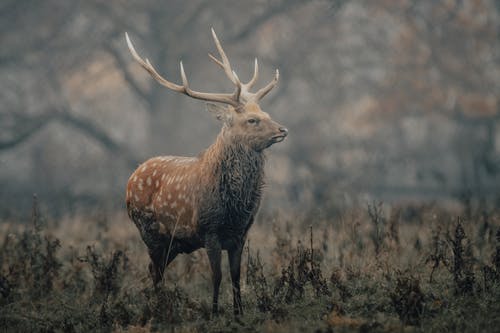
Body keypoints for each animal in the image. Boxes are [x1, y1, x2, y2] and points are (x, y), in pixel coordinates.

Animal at [125, 29, 290, 314]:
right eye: (252, 120)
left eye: (266, 112)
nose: (283, 130)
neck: (235, 206)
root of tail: (131, 178)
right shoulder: (209, 230)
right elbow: (217, 275)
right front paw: (214, 312)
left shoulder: (241, 232)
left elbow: (236, 275)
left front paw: (239, 313)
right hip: (148, 231)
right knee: (154, 270)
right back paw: (160, 307)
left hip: (174, 243)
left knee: (154, 269)